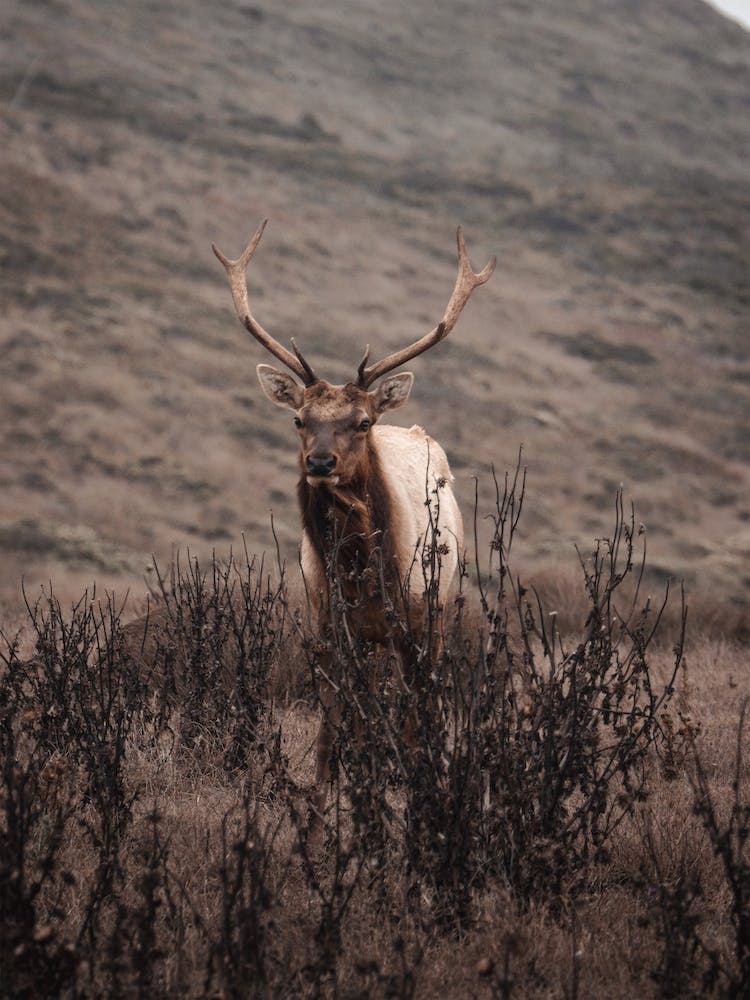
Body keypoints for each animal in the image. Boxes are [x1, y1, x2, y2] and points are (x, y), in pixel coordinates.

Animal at [212, 220, 495, 826]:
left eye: (361, 421)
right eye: (299, 419)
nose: (320, 462)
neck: (363, 575)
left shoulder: (416, 624)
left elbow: (413, 724)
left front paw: (419, 809)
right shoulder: (331, 633)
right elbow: (332, 732)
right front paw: (323, 819)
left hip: (437, 614)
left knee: (421, 711)